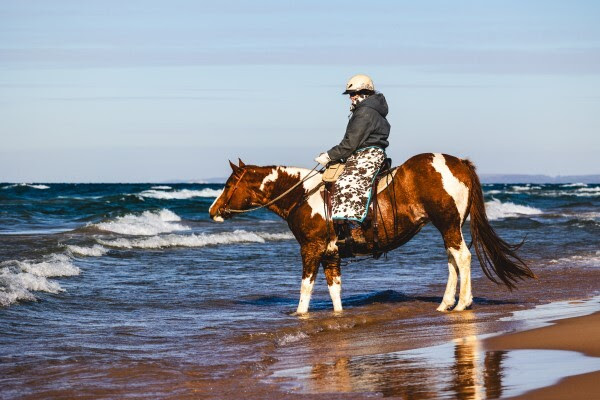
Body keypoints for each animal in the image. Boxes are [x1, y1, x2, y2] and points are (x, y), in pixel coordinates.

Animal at [210, 153, 536, 312]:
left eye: (228, 184)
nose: (213, 210)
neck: (304, 194)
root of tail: (459, 163)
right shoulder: (331, 253)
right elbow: (335, 290)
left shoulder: (311, 249)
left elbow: (305, 288)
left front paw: (299, 315)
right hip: (448, 227)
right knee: (453, 262)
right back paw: (446, 303)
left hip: (447, 224)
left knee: (463, 258)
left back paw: (463, 304)